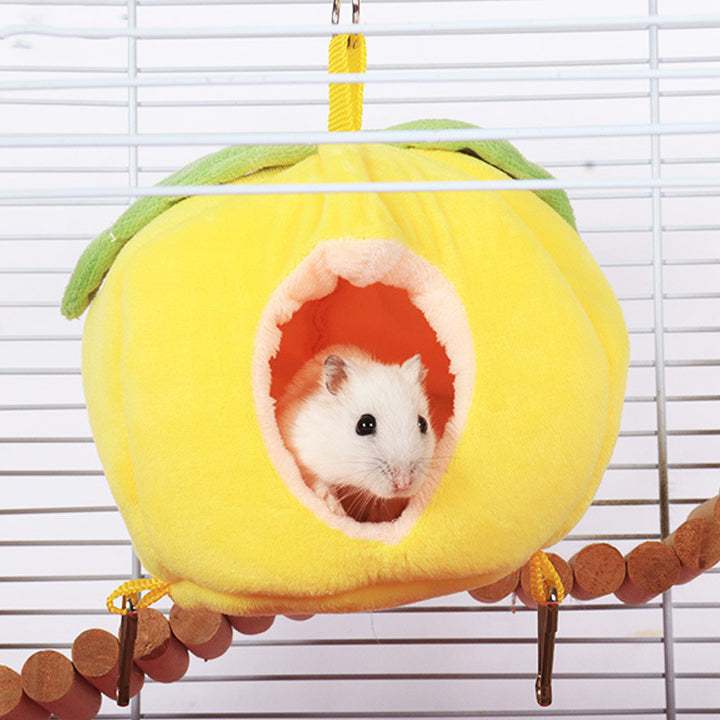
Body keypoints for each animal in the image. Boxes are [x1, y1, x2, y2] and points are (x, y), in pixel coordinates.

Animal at [276, 346, 436, 523]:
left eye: (423, 423)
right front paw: (337, 512)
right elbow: (320, 484)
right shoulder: (305, 454)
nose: (404, 484)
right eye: (364, 425)